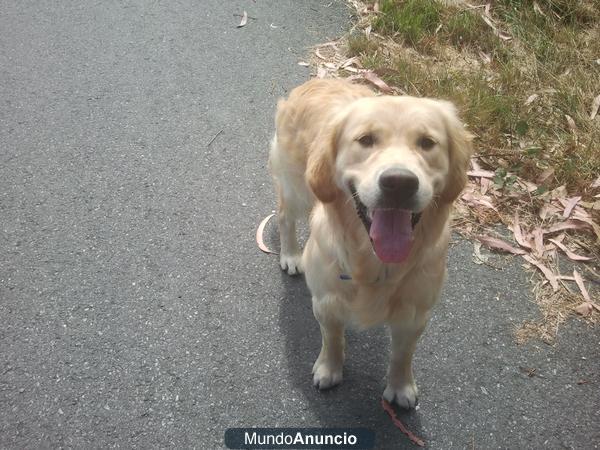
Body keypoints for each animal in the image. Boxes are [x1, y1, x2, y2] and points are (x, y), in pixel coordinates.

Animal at [270, 77, 472, 408]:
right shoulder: (326, 301)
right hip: (296, 185)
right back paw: (290, 255)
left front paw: (401, 387)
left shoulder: (415, 315)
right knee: (285, 215)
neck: (376, 262)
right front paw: (329, 369)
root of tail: (317, 80)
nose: (399, 183)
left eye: (427, 142)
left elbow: (403, 355)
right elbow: (332, 340)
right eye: (365, 140)